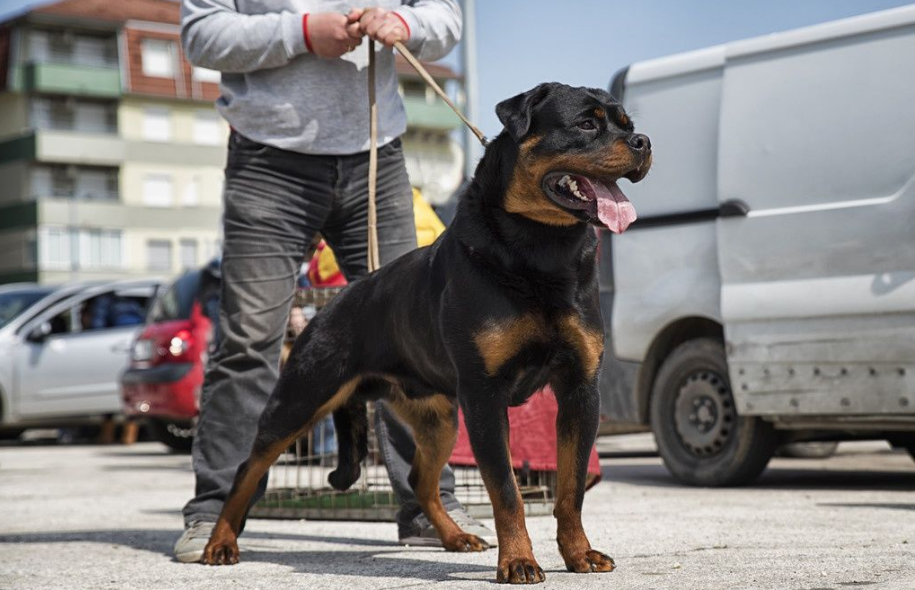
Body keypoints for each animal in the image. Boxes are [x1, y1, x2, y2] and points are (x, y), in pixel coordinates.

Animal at [203, 83, 652, 588]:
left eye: (628, 125)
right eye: (587, 124)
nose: (643, 143)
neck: (542, 248)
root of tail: (330, 304)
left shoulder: (579, 389)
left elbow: (571, 489)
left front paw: (579, 554)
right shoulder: (484, 395)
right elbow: (507, 491)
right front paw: (518, 562)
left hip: (438, 417)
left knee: (421, 480)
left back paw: (455, 536)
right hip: (301, 396)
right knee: (248, 467)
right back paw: (218, 542)